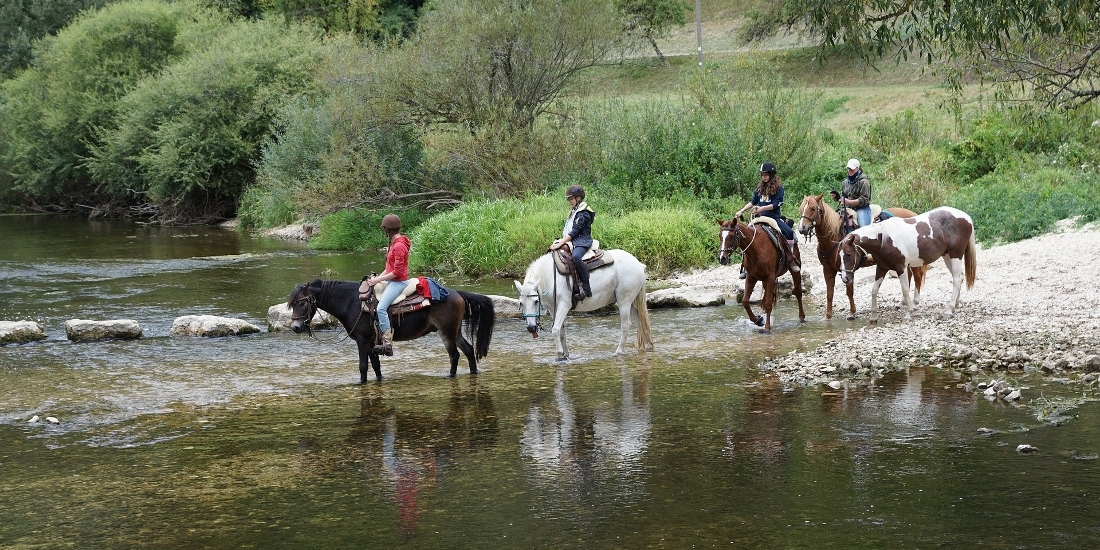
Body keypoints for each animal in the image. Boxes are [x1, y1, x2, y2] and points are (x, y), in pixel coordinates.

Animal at [287, 278, 496, 381]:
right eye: (292, 304)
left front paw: (361, 383)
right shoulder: (371, 343)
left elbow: (363, 367)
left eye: (302, 302)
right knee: (468, 350)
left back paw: (450, 376)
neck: (351, 302)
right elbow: (376, 366)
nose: (296, 327)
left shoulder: (362, 340)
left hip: (446, 332)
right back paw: (473, 373)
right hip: (455, 331)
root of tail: (456, 293)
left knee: (454, 355)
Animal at [514, 249, 654, 361]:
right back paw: (648, 347)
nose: (531, 328)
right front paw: (565, 355)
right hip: (629, 303)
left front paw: (559, 355)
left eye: (536, 301)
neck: (550, 276)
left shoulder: (564, 305)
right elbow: (561, 331)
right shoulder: (553, 309)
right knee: (639, 321)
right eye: (521, 303)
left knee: (626, 325)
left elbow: (555, 330)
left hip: (624, 301)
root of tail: (639, 264)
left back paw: (618, 352)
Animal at [797, 194, 929, 320]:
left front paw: (851, 313)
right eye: (801, 209)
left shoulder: (849, 269)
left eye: (813, 208)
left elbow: (849, 292)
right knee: (909, 275)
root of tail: (913, 214)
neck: (833, 237)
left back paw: (915, 303)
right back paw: (902, 302)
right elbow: (829, 293)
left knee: (917, 276)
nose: (801, 228)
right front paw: (827, 316)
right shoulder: (828, 269)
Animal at [837, 206, 977, 323]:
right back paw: (955, 304)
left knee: (956, 279)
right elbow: (874, 290)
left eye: (848, 254)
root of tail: (966, 217)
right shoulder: (882, 268)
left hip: (955, 255)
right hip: (947, 256)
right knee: (959, 277)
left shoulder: (901, 268)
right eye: (839, 256)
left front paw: (909, 314)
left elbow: (905, 289)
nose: (845, 278)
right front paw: (873, 317)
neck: (883, 239)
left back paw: (949, 310)